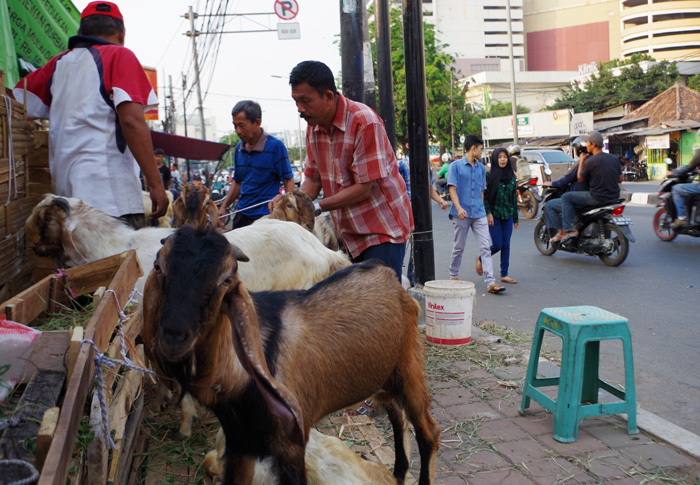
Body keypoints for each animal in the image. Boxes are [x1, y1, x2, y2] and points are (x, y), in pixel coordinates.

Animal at [142, 228, 438, 484]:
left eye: (226, 279)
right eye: (158, 267)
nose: (174, 336)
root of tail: (386, 272)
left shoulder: (292, 446)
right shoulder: (239, 445)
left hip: (410, 366)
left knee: (427, 432)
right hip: (383, 377)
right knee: (398, 418)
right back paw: (398, 473)